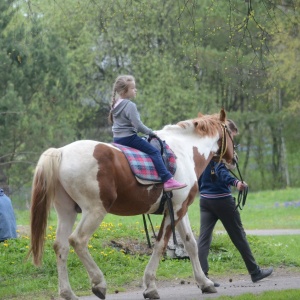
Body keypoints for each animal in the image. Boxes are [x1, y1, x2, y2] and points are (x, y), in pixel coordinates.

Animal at [28, 109, 237, 298]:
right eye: (232, 132)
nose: (234, 159)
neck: (184, 151)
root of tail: (61, 152)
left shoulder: (180, 209)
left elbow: (191, 244)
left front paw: (205, 283)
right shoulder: (176, 210)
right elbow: (161, 244)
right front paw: (150, 286)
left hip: (67, 212)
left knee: (61, 246)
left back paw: (67, 292)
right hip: (94, 211)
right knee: (77, 240)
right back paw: (98, 283)